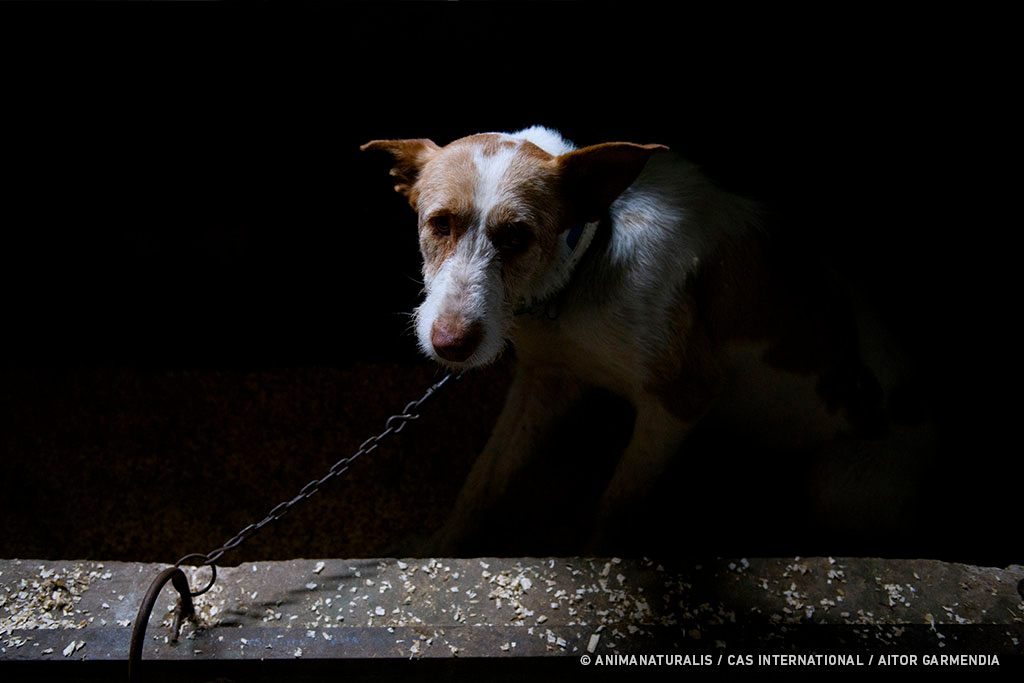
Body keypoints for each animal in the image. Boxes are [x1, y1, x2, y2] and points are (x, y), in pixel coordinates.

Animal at [364, 125, 933, 557]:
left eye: (517, 237)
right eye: (440, 224)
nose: (450, 345)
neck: (585, 262)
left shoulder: (683, 399)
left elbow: (615, 505)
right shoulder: (545, 381)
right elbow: (482, 480)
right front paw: (438, 548)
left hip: (834, 485)